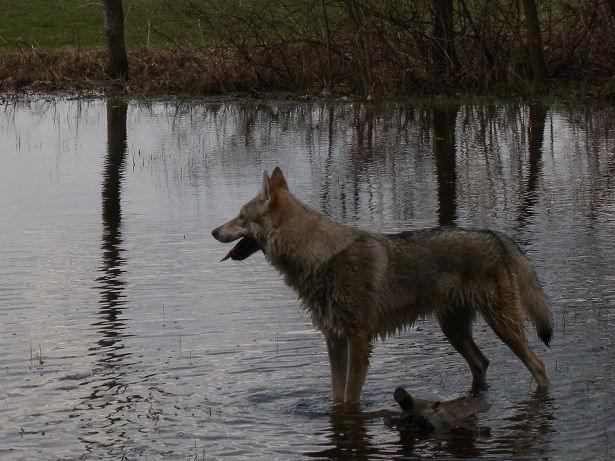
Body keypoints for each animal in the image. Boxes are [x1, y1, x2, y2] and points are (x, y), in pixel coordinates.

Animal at [212, 167, 552, 405]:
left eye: (240, 217)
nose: (213, 231)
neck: (316, 256)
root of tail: (495, 235)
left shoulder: (359, 339)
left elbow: (350, 398)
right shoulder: (334, 339)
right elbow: (337, 394)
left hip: (501, 327)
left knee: (538, 365)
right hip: (453, 329)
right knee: (482, 363)